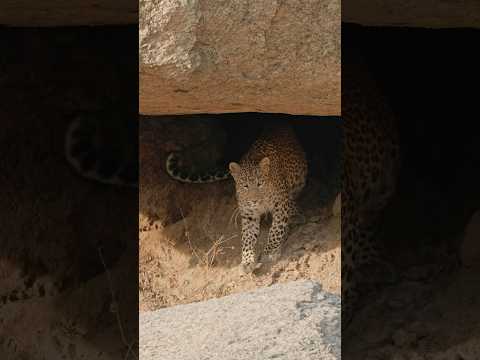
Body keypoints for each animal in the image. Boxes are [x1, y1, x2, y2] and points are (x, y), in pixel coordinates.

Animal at [165, 122, 308, 274]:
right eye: (245, 186)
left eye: (260, 184)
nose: (254, 200)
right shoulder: (249, 214)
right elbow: (247, 238)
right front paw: (247, 261)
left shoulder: (281, 205)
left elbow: (275, 230)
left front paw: (270, 251)